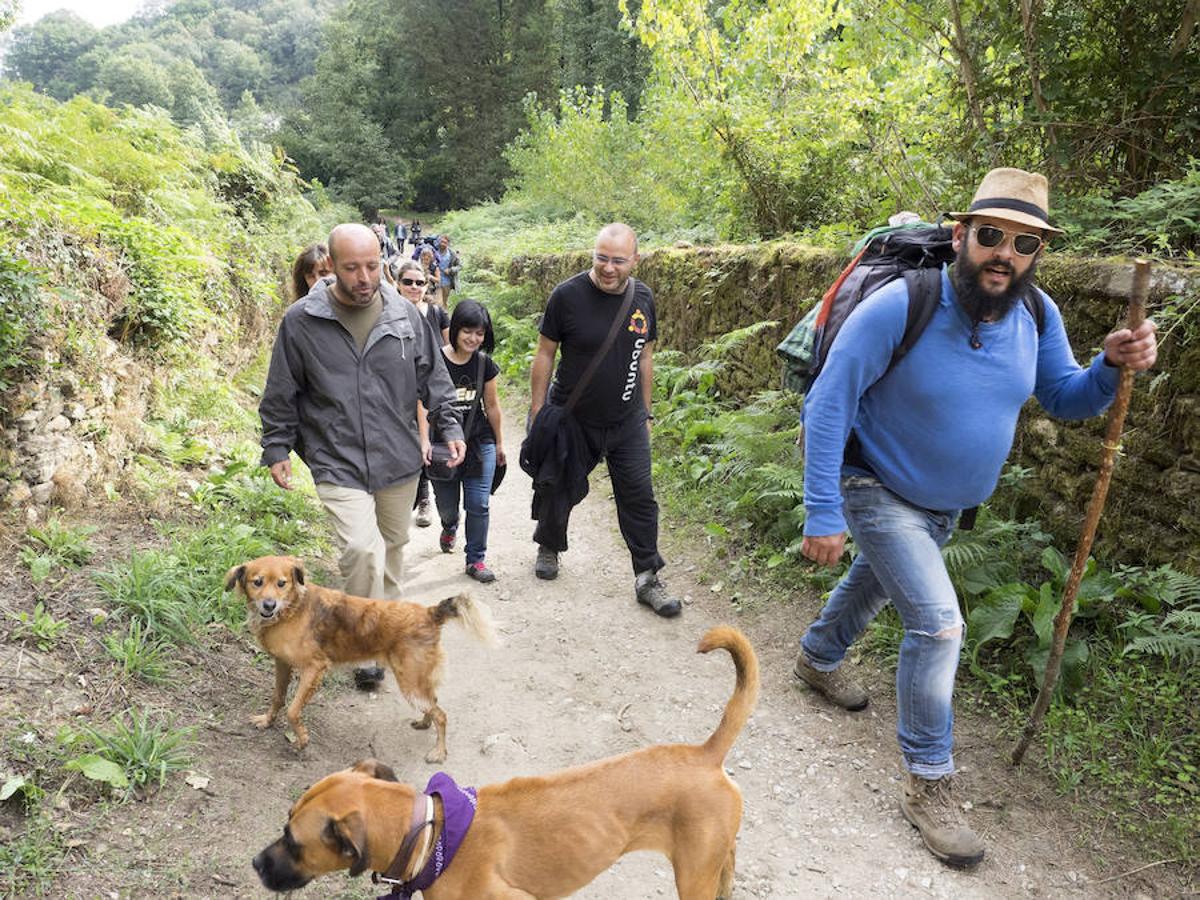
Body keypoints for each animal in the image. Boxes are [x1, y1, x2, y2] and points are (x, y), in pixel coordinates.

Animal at [225, 556, 492, 763]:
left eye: (282, 583)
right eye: (257, 582)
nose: (269, 605)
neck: (292, 608)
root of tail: (429, 613)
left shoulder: (314, 668)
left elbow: (292, 711)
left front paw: (301, 740)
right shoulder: (282, 663)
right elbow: (278, 697)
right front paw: (267, 720)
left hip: (410, 681)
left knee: (441, 714)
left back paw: (438, 752)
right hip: (417, 680)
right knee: (433, 703)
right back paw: (424, 723)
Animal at [253, 628, 758, 900]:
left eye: (293, 841)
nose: (256, 863)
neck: (431, 835)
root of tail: (705, 752)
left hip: (692, 875)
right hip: (713, 861)